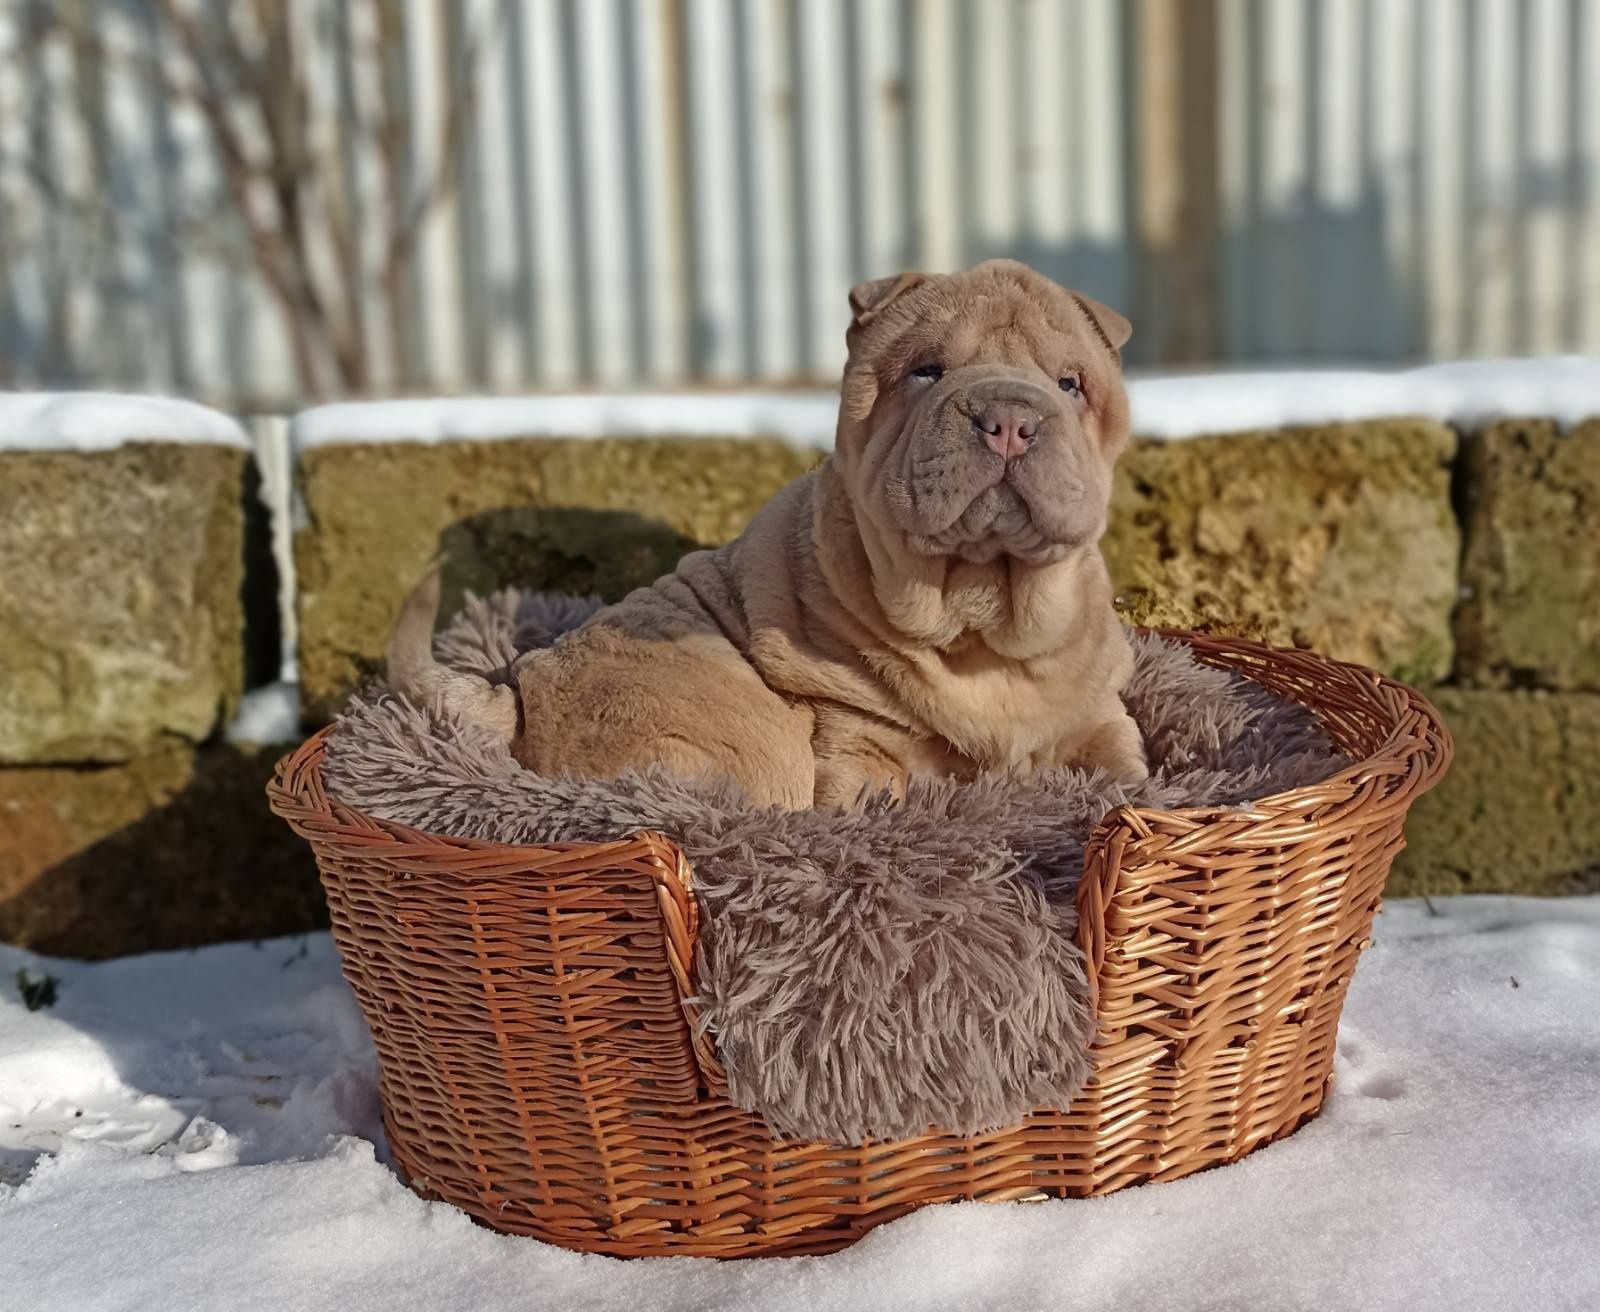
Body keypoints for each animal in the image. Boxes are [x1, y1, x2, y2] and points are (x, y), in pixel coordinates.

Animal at [387, 259, 1152, 809]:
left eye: (1070, 384)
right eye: (926, 371)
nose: (1009, 419)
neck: (980, 623)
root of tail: (521, 687)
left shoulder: (1099, 712)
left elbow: (1126, 766)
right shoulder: (851, 741)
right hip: (744, 733)